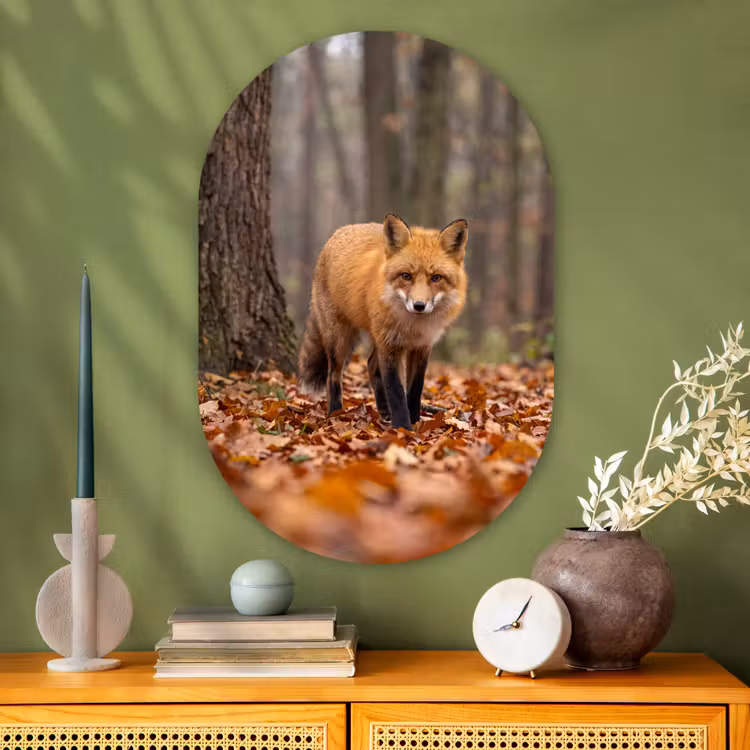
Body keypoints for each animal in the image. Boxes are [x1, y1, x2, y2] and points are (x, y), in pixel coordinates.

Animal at [297, 213, 468, 431]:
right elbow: (396, 391)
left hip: (374, 335)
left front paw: (414, 421)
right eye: (406, 276)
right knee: (333, 375)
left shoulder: (421, 347)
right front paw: (403, 428)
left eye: (436, 278)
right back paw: (335, 413)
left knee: (371, 366)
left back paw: (384, 411)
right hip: (340, 339)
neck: (413, 327)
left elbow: (415, 390)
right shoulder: (391, 346)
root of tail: (338, 232)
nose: (419, 305)